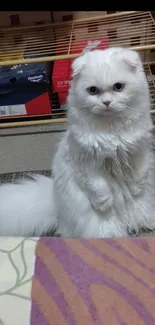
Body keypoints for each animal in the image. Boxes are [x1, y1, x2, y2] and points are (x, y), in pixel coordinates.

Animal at [0, 46, 155, 235]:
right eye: (93, 90)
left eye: (118, 87)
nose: (106, 102)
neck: (111, 131)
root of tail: (55, 203)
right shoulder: (87, 165)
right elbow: (100, 190)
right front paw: (105, 204)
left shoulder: (139, 153)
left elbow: (138, 178)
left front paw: (134, 190)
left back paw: (144, 224)